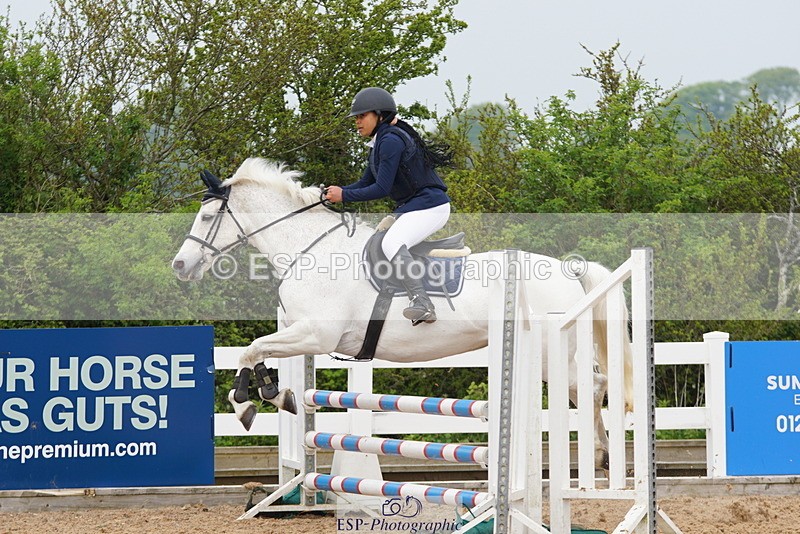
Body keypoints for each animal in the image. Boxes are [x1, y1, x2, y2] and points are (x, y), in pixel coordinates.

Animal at [171, 157, 634, 468]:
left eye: (207, 216)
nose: (180, 266)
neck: (308, 248)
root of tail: (568, 269)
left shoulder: (315, 334)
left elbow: (251, 350)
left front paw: (245, 405)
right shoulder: (302, 333)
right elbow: (258, 353)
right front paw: (275, 392)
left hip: (546, 351)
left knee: (589, 387)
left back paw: (596, 457)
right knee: (590, 387)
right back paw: (602, 457)